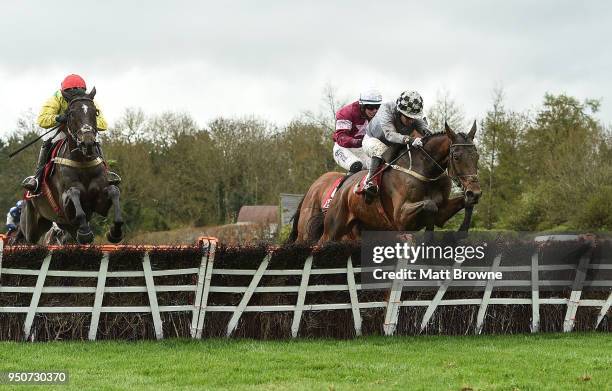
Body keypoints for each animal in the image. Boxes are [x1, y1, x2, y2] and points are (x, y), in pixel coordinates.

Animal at [290, 122, 480, 245]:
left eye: (477, 156)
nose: (475, 191)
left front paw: (460, 230)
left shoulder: (442, 212)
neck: (425, 171)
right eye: (457, 156)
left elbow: (461, 205)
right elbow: (429, 205)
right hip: (330, 230)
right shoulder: (400, 216)